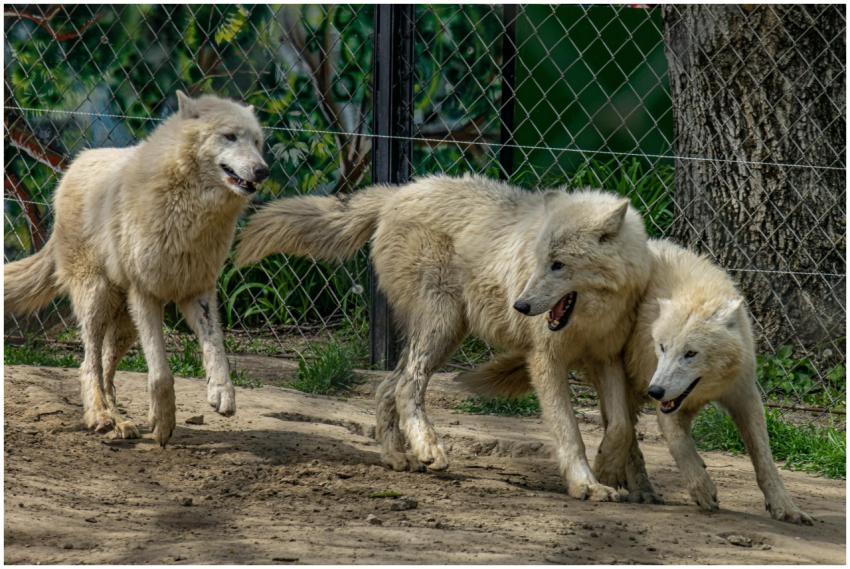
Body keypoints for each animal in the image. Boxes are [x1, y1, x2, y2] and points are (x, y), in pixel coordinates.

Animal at [5, 91, 269, 446]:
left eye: (257, 141)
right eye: (229, 136)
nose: (262, 170)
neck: (190, 212)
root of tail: (73, 166)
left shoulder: (198, 292)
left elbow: (216, 349)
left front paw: (221, 393)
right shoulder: (145, 294)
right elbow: (160, 373)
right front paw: (163, 422)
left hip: (124, 324)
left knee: (105, 369)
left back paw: (119, 421)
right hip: (98, 300)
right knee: (88, 365)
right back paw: (101, 416)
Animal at [235, 174, 651, 501]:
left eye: (559, 265)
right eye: (539, 263)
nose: (520, 305)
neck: (590, 319)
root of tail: (398, 192)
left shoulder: (606, 359)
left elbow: (620, 426)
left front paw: (609, 471)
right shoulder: (545, 361)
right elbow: (569, 431)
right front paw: (587, 485)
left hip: (444, 334)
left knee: (386, 387)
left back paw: (399, 458)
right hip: (442, 326)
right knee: (408, 386)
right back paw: (429, 449)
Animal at [460, 238, 813, 524]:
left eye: (690, 353)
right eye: (662, 347)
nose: (655, 390)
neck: (698, 290)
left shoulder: (744, 397)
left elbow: (764, 459)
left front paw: (786, 508)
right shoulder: (663, 397)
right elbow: (680, 446)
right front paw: (702, 488)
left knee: (622, 430)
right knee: (625, 433)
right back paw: (639, 488)